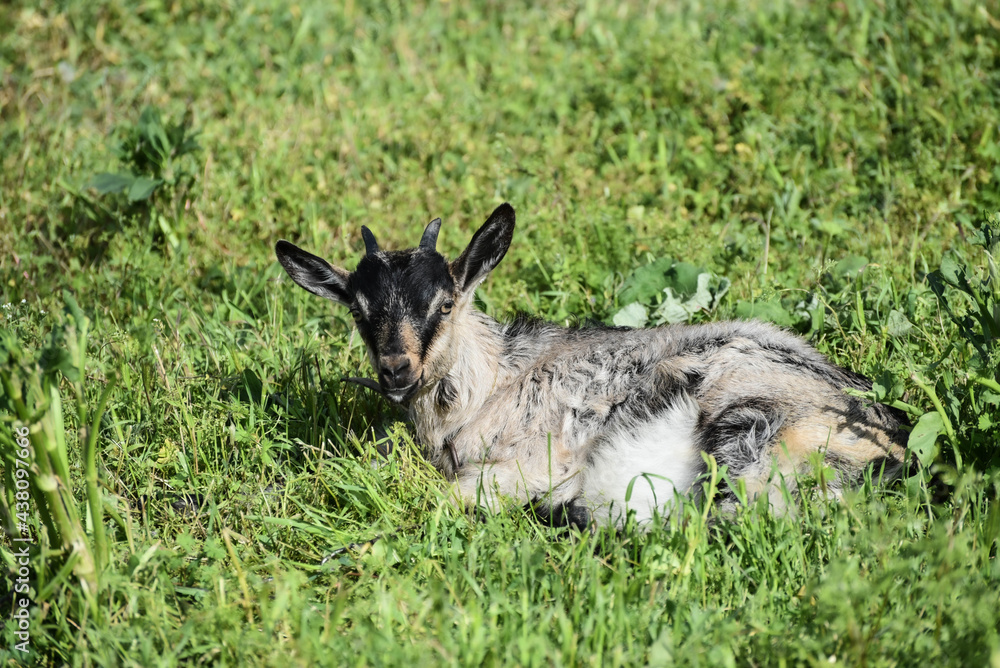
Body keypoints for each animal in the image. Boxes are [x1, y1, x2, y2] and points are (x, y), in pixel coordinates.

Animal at [275, 203, 908, 528]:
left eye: (445, 304)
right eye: (358, 312)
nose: (396, 369)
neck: (494, 383)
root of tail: (896, 450)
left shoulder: (529, 463)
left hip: (746, 428)